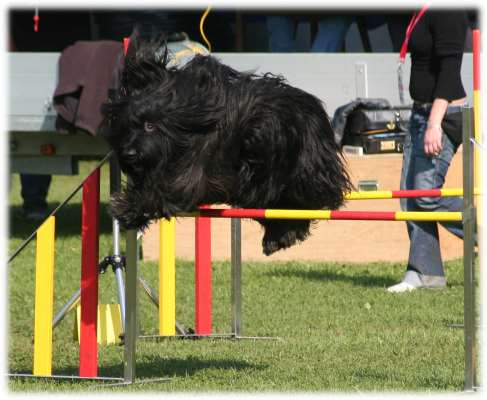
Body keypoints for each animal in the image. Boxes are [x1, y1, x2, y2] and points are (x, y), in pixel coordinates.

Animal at [100, 33, 350, 253]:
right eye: (126, 126)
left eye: (150, 125)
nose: (129, 153)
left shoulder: (195, 171)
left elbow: (170, 188)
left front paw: (126, 207)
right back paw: (279, 236)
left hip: (301, 169)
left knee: (306, 198)